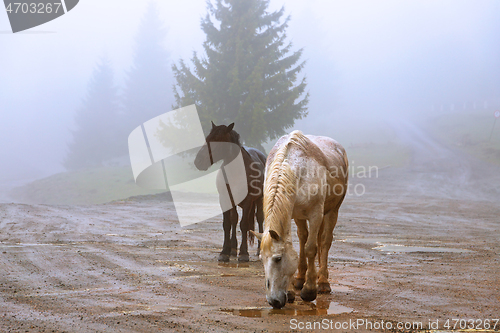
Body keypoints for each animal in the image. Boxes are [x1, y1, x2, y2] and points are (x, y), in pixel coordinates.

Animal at [194, 122, 268, 262]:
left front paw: (244, 253)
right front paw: (225, 252)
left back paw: (259, 249)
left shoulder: (248, 200)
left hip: (260, 199)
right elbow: (228, 223)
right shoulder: (225, 199)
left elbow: (244, 224)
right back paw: (233, 248)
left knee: (260, 218)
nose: (198, 161)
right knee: (234, 219)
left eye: (218, 140)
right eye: (207, 138)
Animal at [254, 130, 348, 308]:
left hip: (332, 211)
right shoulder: (291, 214)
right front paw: (291, 291)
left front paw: (309, 291)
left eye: (278, 259)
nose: (273, 301)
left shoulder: (316, 214)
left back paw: (323, 282)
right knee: (304, 237)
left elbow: (311, 248)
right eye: (261, 259)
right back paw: (299, 280)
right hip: (300, 217)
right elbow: (298, 246)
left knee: (324, 241)